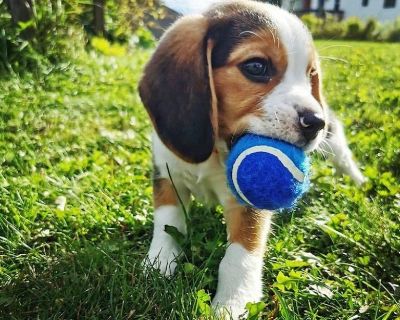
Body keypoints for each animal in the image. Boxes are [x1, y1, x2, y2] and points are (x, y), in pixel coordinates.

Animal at [138, 0, 366, 318]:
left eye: (310, 75)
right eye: (256, 67)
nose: (315, 122)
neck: (218, 149)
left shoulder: (250, 200)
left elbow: (240, 254)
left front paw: (233, 301)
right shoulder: (166, 173)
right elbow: (167, 221)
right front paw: (159, 263)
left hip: (332, 136)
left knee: (342, 154)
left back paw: (358, 180)